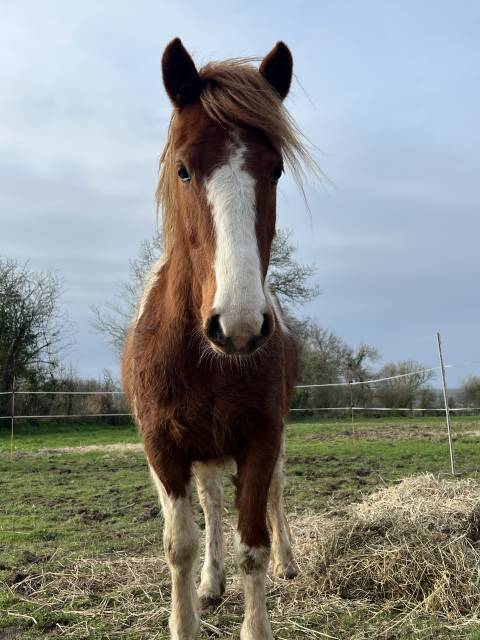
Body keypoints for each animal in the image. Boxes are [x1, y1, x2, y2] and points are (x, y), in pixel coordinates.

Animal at [122, 38, 313, 640]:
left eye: (275, 170)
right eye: (183, 170)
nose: (240, 324)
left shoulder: (262, 437)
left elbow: (254, 544)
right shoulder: (162, 447)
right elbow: (180, 544)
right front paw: (189, 611)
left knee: (275, 498)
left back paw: (288, 561)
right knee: (209, 505)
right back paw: (210, 582)